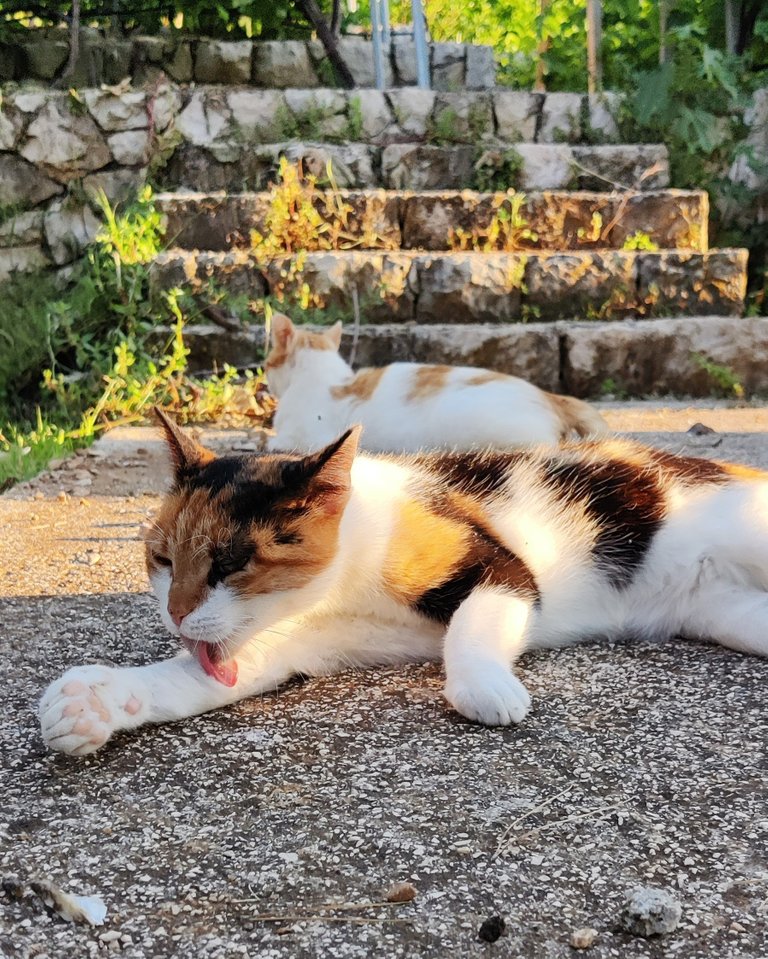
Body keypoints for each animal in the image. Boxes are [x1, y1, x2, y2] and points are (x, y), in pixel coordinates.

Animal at [39, 408, 768, 752]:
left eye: (229, 563)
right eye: (163, 559)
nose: (176, 612)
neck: (341, 586)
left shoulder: (500, 566)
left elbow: (470, 627)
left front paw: (486, 688)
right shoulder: (286, 647)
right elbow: (191, 679)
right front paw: (95, 703)